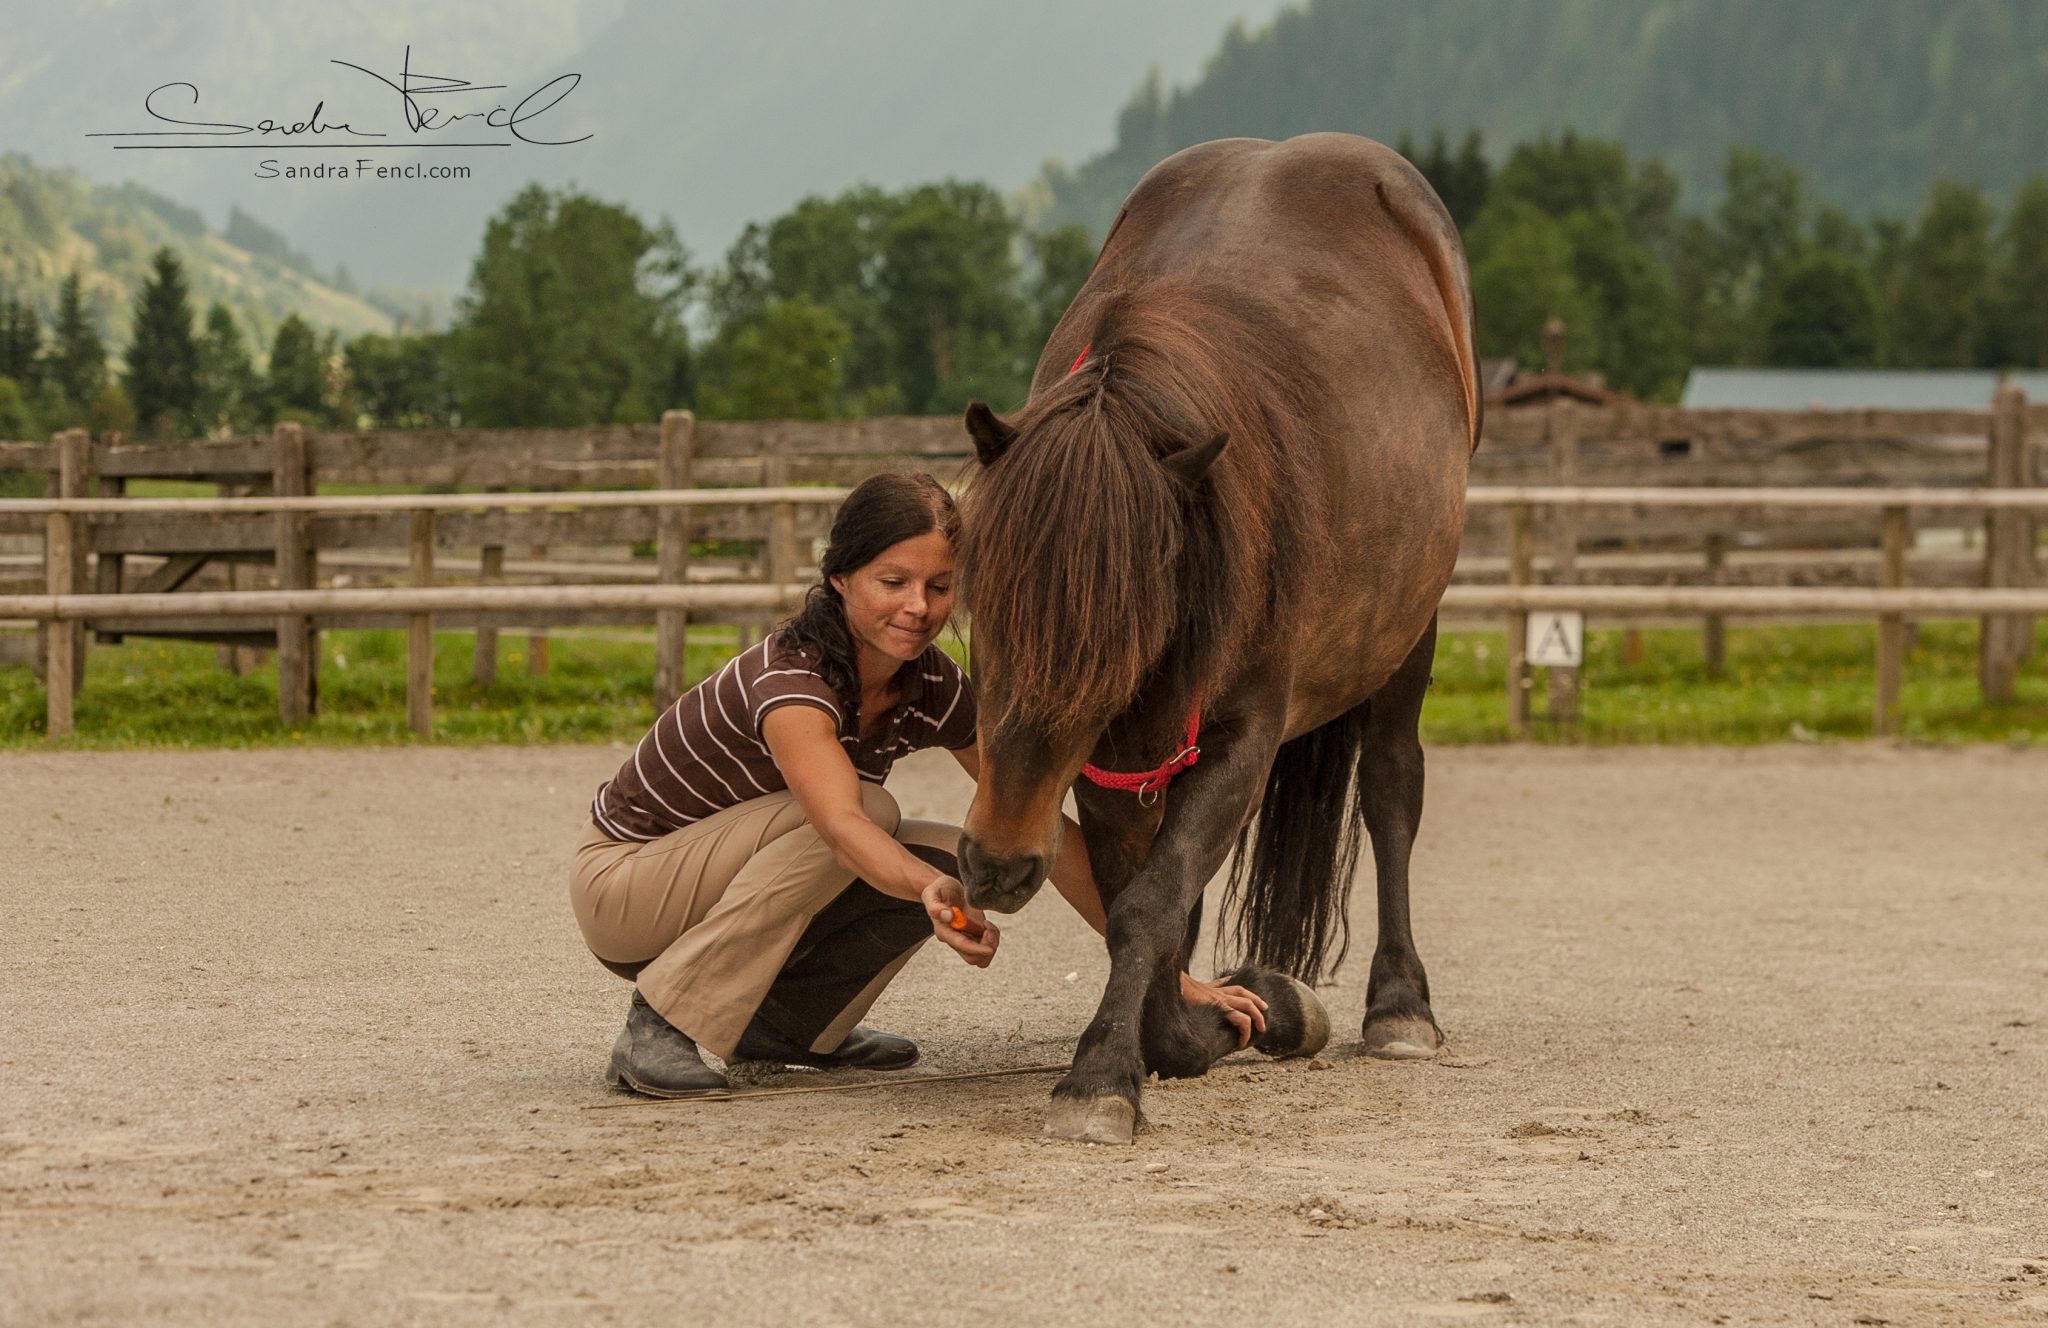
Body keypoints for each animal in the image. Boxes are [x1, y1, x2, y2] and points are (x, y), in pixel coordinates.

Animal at [958, 140, 1474, 1147]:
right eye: (979, 615)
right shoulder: (1109, 765)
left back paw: (1400, 1003)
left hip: (1410, 630)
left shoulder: (1239, 740)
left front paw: (1104, 1076)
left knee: (1392, 792)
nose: (996, 864)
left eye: (1114, 643)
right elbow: (1145, 903)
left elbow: (1150, 906)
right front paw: (1201, 1027)